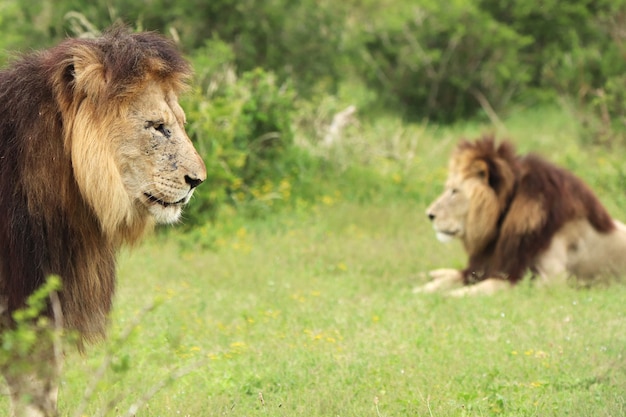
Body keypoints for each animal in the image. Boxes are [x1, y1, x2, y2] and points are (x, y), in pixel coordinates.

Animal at [414, 136, 626, 296]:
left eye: (454, 191)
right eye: (449, 189)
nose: (429, 214)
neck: (500, 226)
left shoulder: (551, 281)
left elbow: (488, 286)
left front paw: (450, 296)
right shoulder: (490, 265)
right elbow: (451, 279)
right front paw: (420, 290)